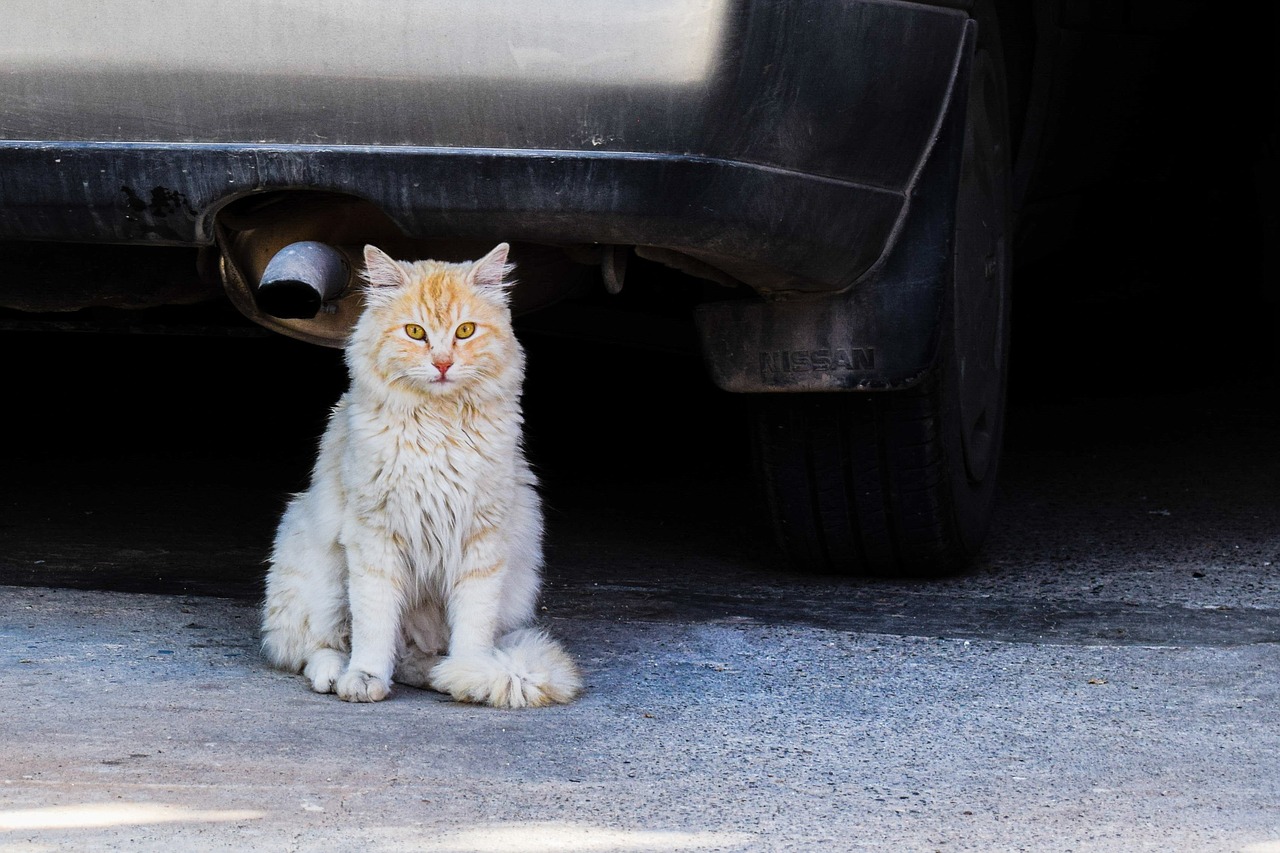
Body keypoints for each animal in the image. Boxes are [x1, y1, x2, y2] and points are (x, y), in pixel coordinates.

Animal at [259, 239, 581, 701]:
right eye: (415, 333)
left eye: (465, 331)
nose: (443, 364)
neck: (438, 425)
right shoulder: (375, 537)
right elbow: (373, 625)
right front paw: (366, 678)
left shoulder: (482, 539)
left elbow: (473, 625)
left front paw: (471, 674)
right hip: (319, 571)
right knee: (317, 647)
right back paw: (338, 676)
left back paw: (436, 672)